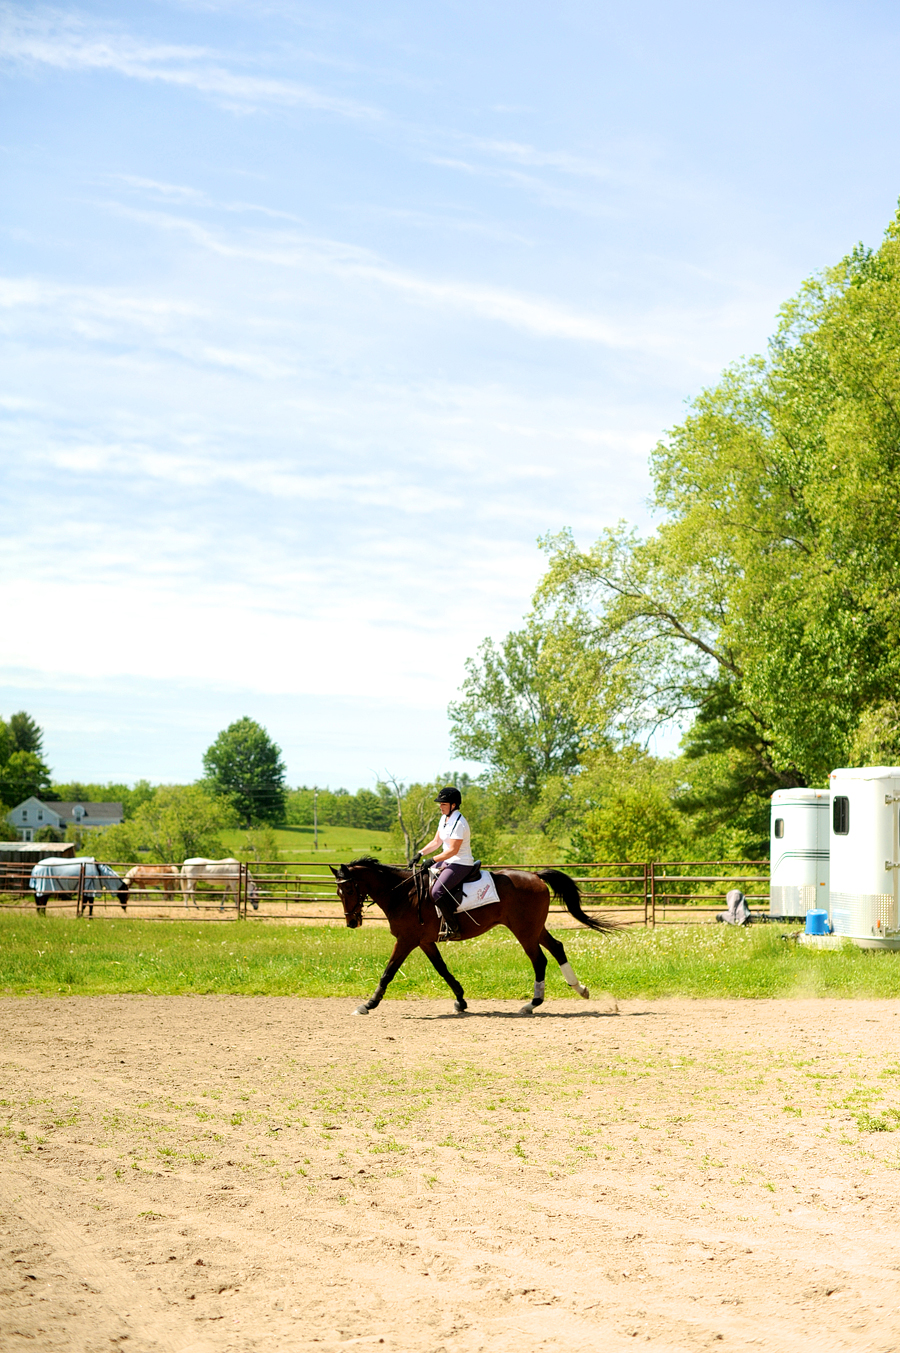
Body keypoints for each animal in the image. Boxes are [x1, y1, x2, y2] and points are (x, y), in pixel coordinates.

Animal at [330, 855, 617, 1017]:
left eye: (349, 890)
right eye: (338, 893)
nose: (352, 922)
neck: (403, 893)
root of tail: (535, 875)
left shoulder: (407, 940)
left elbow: (388, 972)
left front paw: (368, 1004)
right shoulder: (425, 941)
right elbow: (443, 970)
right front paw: (460, 1000)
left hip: (524, 930)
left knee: (540, 960)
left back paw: (532, 1004)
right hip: (535, 928)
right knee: (557, 948)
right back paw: (579, 989)